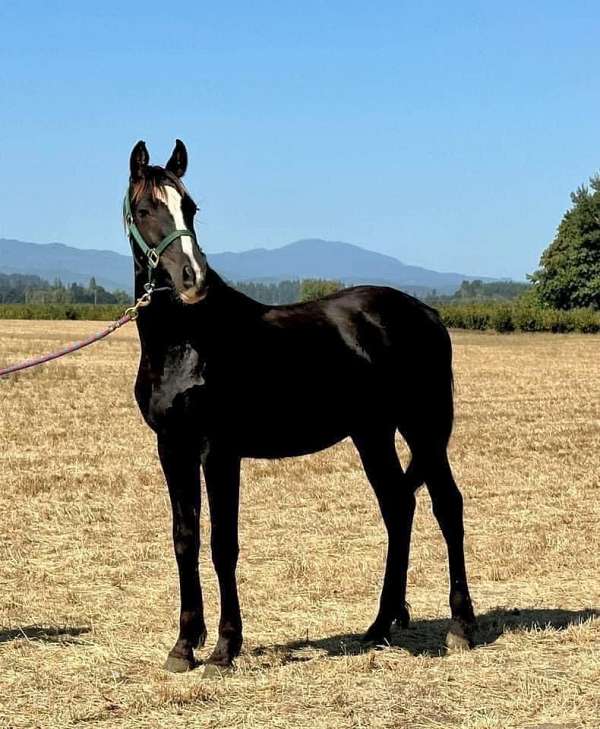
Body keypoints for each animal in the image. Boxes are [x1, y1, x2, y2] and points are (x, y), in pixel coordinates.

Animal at [125, 139, 474, 672]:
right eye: (145, 210)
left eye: (191, 207)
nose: (192, 278)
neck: (186, 342)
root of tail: (427, 314)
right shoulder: (172, 448)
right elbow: (186, 539)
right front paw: (184, 645)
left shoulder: (218, 450)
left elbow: (223, 543)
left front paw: (225, 647)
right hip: (373, 433)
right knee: (398, 507)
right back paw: (379, 626)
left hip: (424, 428)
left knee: (446, 506)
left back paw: (460, 627)